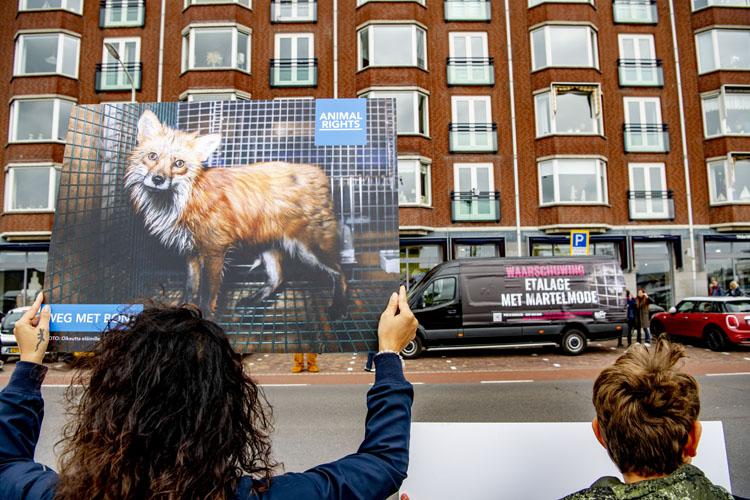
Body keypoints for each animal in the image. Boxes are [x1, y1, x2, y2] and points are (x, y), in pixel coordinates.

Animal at [125, 111, 350, 318]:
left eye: (179, 163)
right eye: (152, 156)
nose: (158, 179)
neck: (183, 200)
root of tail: (319, 172)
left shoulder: (214, 250)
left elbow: (206, 295)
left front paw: (206, 319)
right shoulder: (190, 251)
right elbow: (189, 288)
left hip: (310, 248)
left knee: (340, 273)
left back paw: (338, 306)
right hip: (266, 245)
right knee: (278, 277)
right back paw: (254, 300)